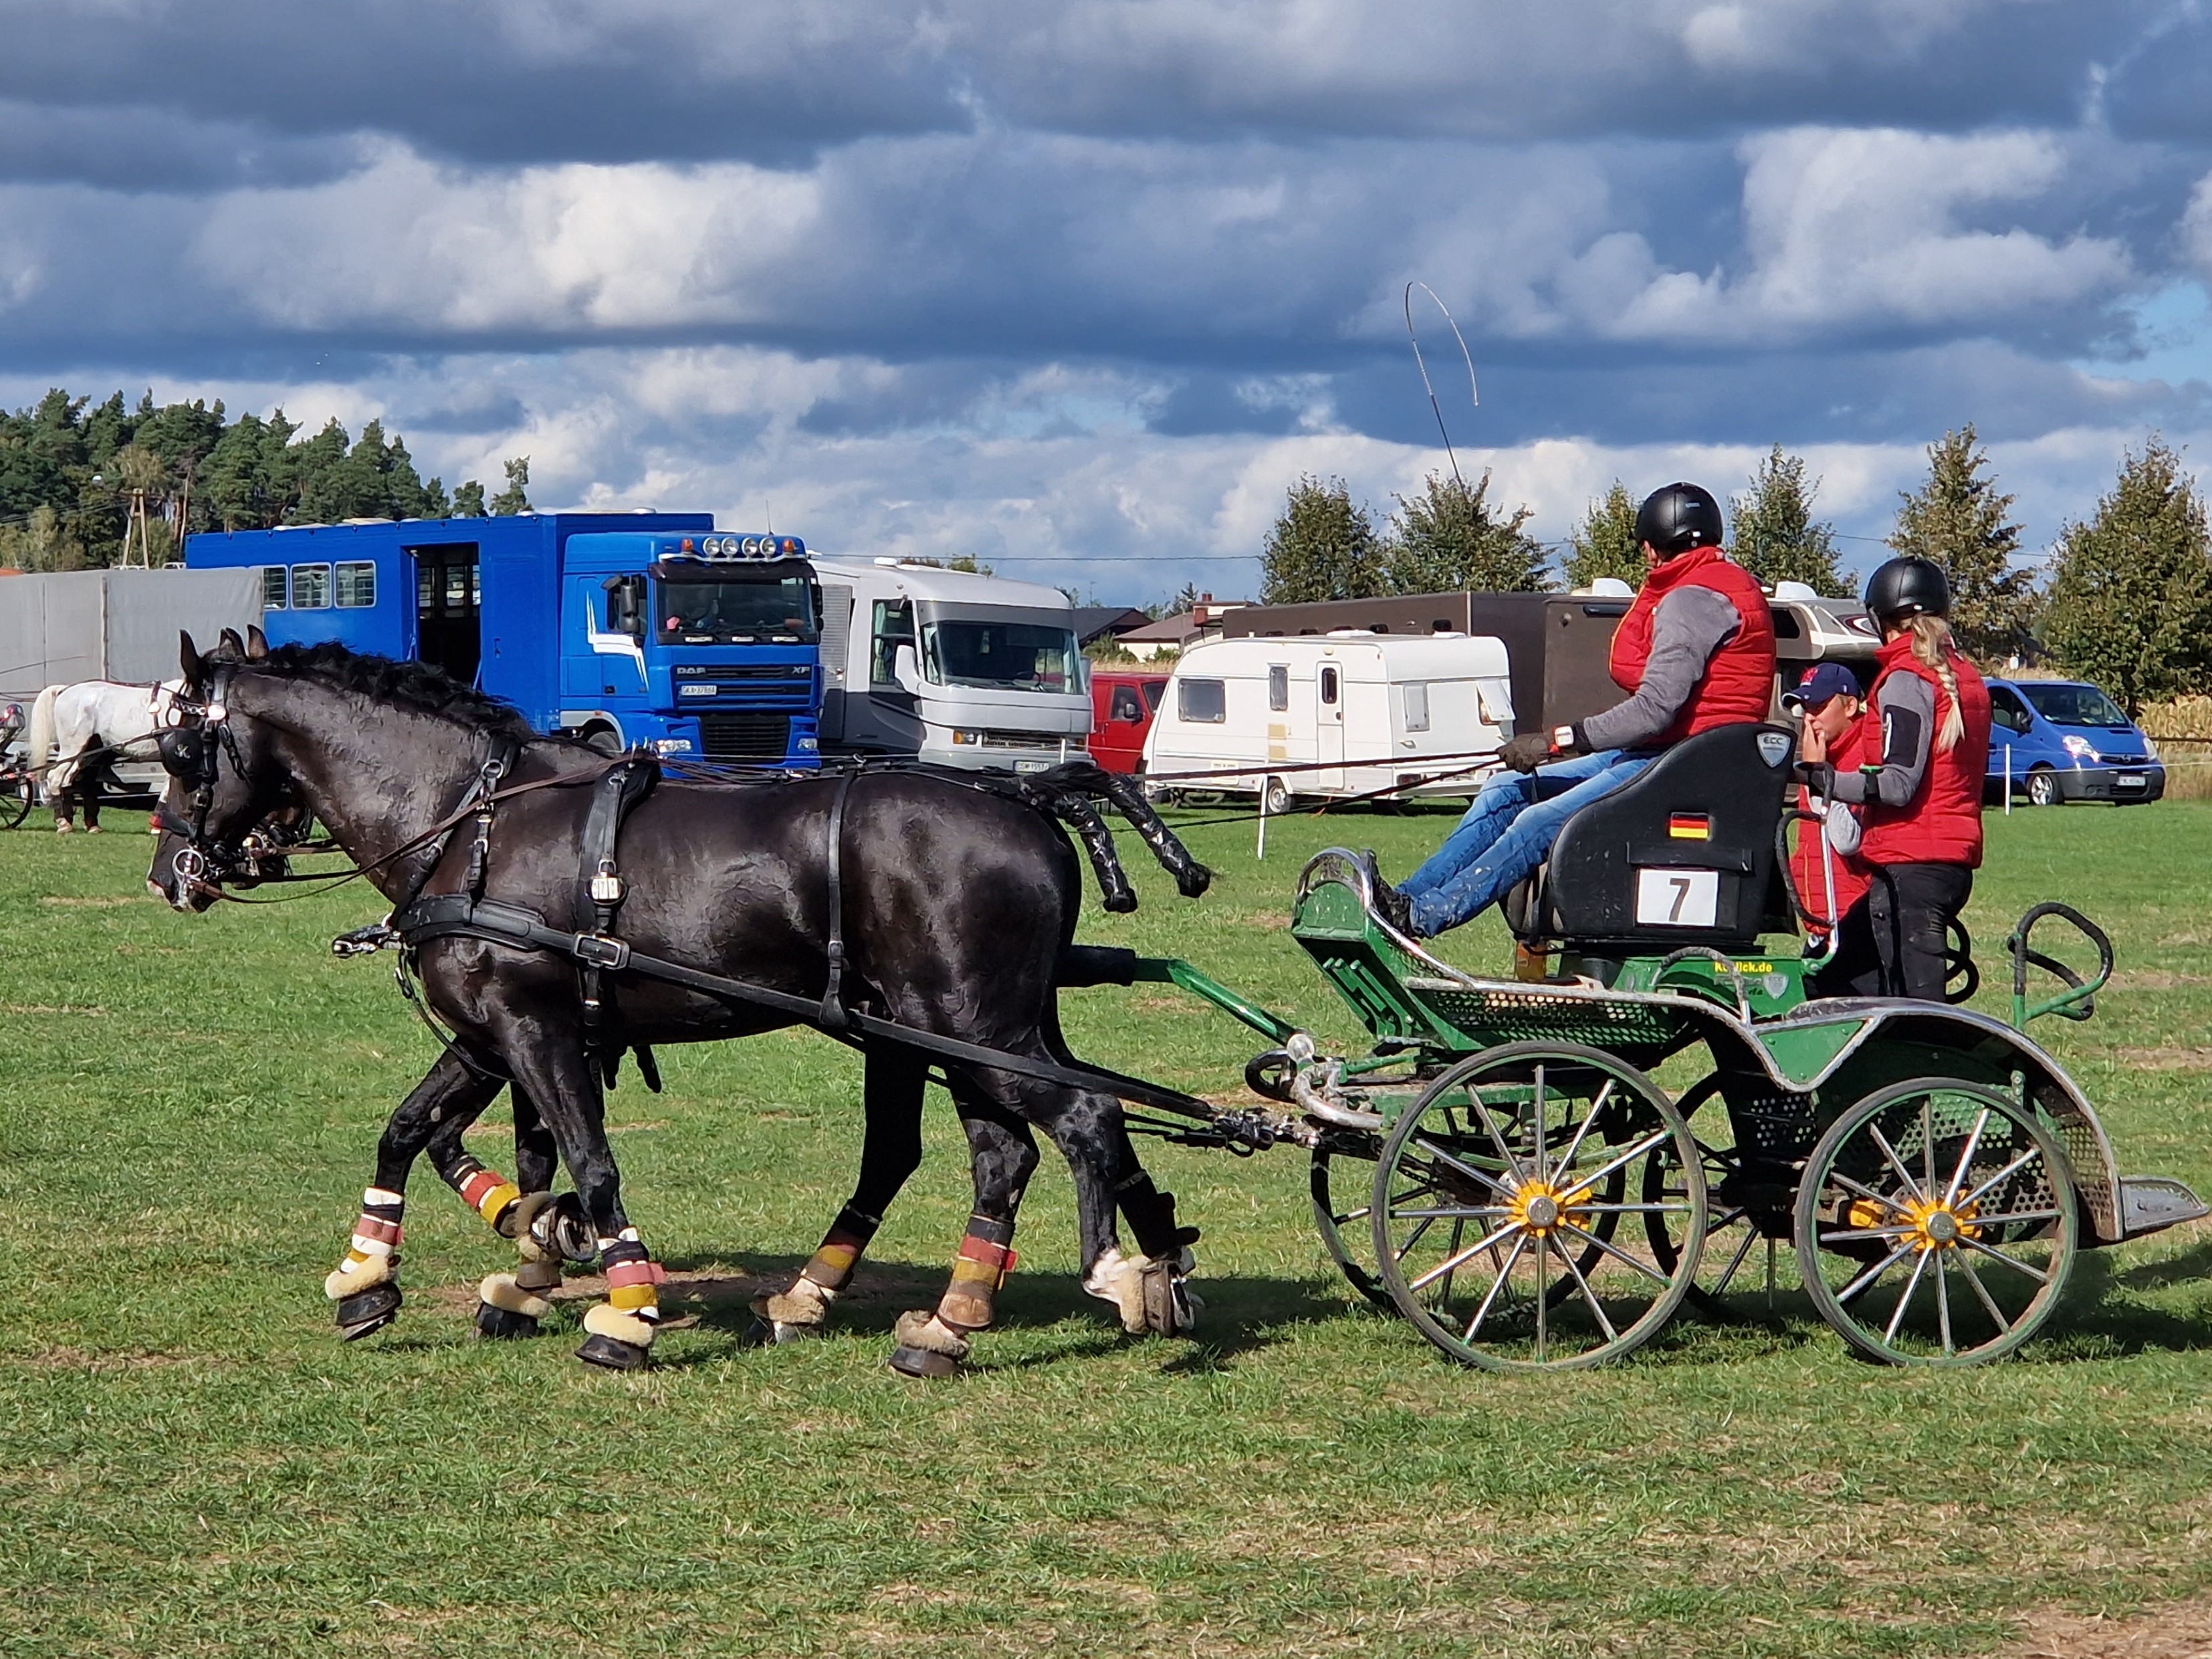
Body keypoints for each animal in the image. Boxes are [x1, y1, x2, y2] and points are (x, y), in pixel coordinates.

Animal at [26, 677, 183, 831]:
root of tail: (65, 690)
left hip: (88, 752)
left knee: (73, 781)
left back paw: (86, 824)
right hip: (72, 748)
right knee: (56, 777)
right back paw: (63, 822)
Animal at [151, 633, 1230, 1380]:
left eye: (177, 753)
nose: (172, 875)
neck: (469, 819)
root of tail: (1028, 802)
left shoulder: (531, 1029)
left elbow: (587, 1159)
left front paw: (621, 1309)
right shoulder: (493, 1034)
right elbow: (419, 1134)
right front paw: (380, 1276)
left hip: (971, 1027)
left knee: (1078, 1118)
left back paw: (1094, 1276)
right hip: (946, 1027)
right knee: (990, 1150)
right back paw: (950, 1311)